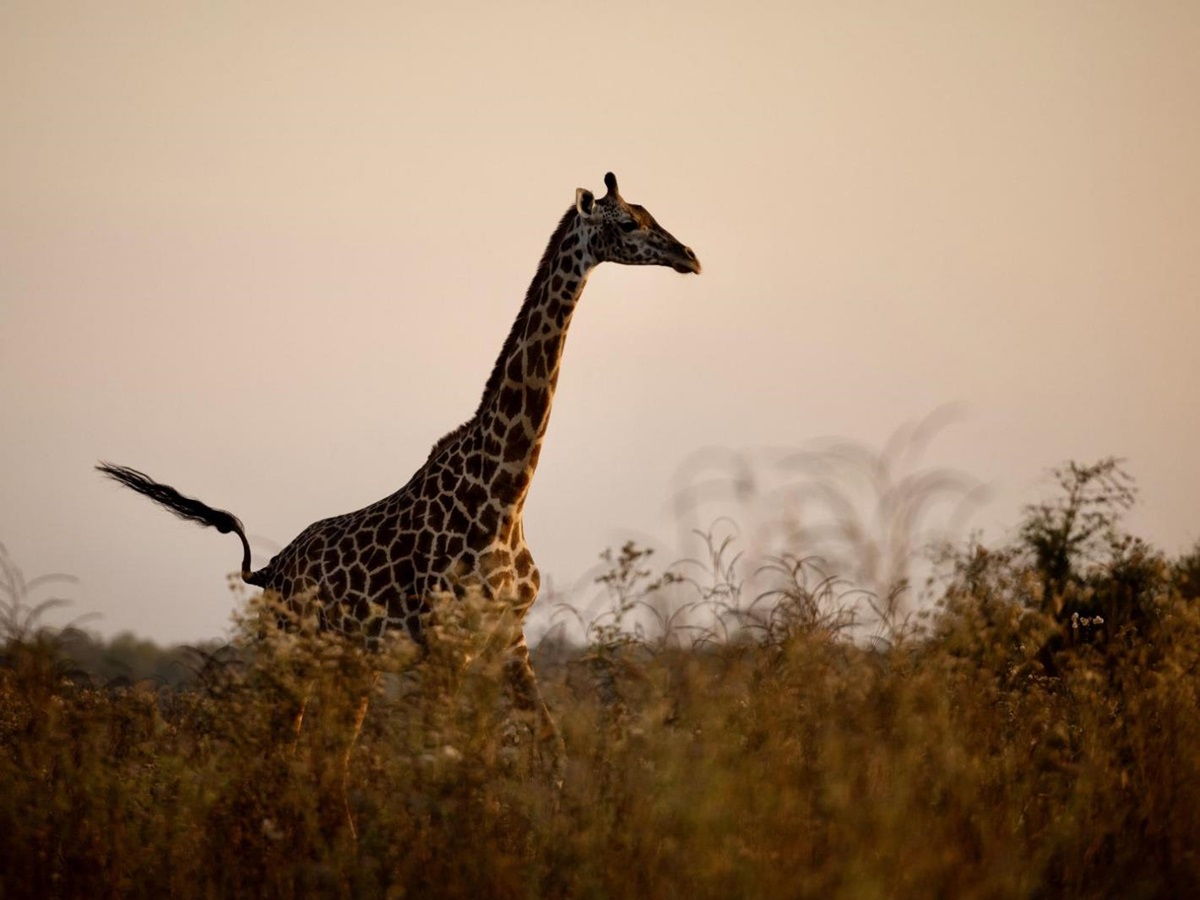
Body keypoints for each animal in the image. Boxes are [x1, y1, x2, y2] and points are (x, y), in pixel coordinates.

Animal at [97, 171, 700, 763]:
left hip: (350, 664)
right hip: (290, 652)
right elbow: (440, 757)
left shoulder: (508, 637)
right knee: (276, 753)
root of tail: (266, 572)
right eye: (628, 222)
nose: (690, 256)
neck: (507, 493)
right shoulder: (446, 645)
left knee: (325, 760)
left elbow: (547, 750)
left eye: (649, 213)